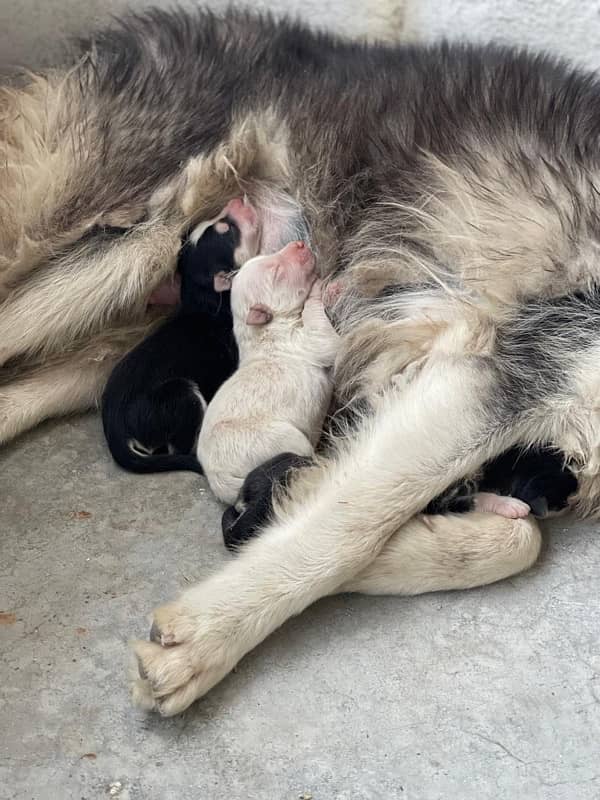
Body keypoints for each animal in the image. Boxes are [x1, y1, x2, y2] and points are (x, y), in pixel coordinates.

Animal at [101, 198, 260, 476]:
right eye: (226, 230)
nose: (235, 199)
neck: (204, 298)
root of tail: (114, 429)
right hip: (182, 396)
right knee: (179, 447)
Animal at [196, 241, 338, 504]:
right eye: (276, 272)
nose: (299, 243)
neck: (263, 330)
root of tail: (216, 478)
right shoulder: (305, 340)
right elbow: (323, 333)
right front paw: (321, 286)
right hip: (281, 439)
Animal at [224, 444, 576, 552]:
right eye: (563, 499)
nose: (575, 497)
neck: (503, 462)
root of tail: (246, 489)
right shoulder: (443, 497)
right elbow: (479, 496)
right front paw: (513, 506)